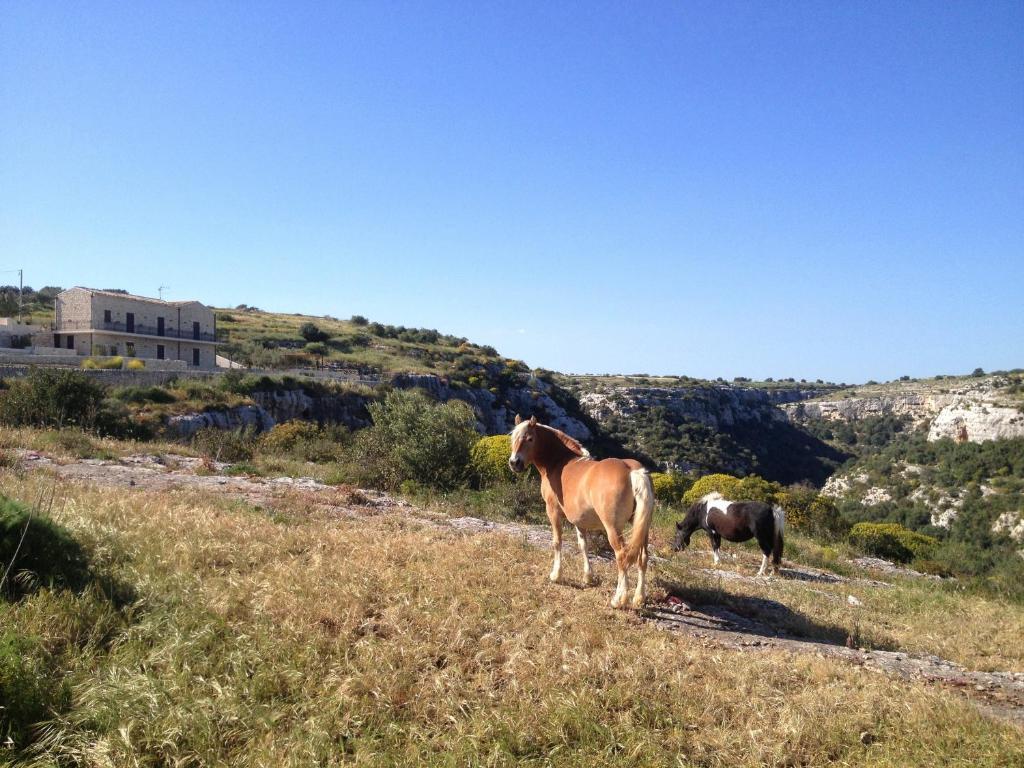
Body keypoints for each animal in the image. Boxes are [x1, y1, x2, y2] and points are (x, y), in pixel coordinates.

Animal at [505, 417, 655, 610]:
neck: (559, 462)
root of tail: (632, 471)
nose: (514, 463)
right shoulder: (579, 520)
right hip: (642, 528)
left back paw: (618, 599)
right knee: (642, 558)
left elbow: (557, 542)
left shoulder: (553, 512)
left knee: (622, 556)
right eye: (513, 438)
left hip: (613, 529)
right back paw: (639, 598)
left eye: (529, 438)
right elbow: (583, 545)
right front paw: (588, 577)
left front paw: (556, 575)